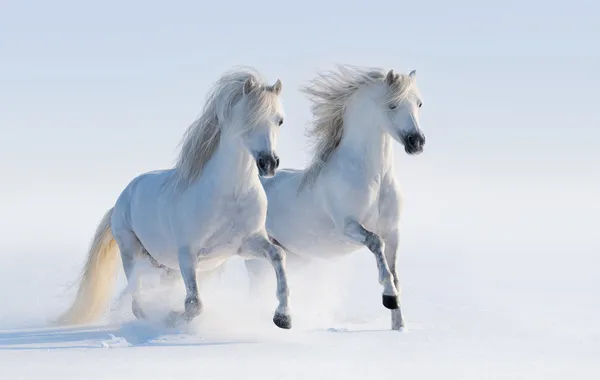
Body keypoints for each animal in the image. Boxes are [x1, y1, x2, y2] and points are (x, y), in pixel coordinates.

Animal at [57, 67, 292, 330]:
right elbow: (194, 305)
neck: (231, 195)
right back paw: (150, 319)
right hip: (132, 253)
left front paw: (283, 317)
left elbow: (278, 255)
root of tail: (120, 201)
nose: (268, 163)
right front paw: (172, 317)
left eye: (279, 120)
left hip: (164, 266)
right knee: (136, 300)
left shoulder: (247, 245)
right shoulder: (187, 254)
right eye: (248, 119)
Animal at [245, 65, 426, 330]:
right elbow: (376, 244)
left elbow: (395, 272)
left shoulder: (393, 231)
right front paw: (389, 298)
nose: (417, 142)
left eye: (419, 103)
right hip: (256, 259)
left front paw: (398, 326)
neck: (374, 178)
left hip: (295, 256)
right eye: (392, 105)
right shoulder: (348, 227)